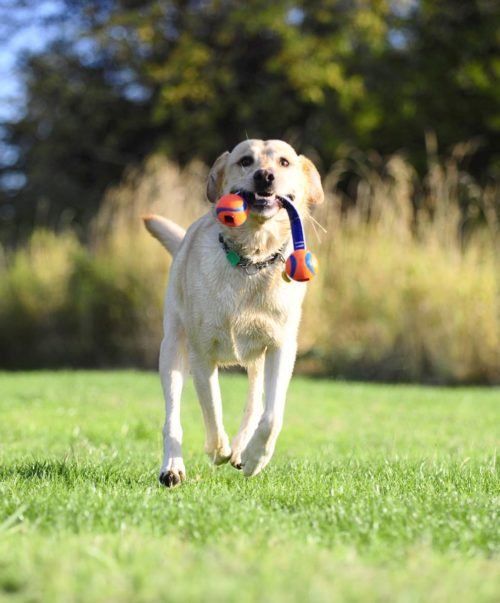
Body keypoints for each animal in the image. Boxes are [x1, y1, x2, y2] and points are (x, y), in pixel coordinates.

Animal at [145, 140, 324, 486]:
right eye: (245, 161)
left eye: (284, 162)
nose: (265, 176)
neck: (251, 259)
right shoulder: (201, 353)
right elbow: (212, 408)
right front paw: (218, 451)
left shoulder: (281, 348)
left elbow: (271, 415)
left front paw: (255, 457)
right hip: (172, 348)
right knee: (172, 418)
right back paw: (173, 467)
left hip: (257, 361)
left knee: (254, 405)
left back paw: (242, 450)